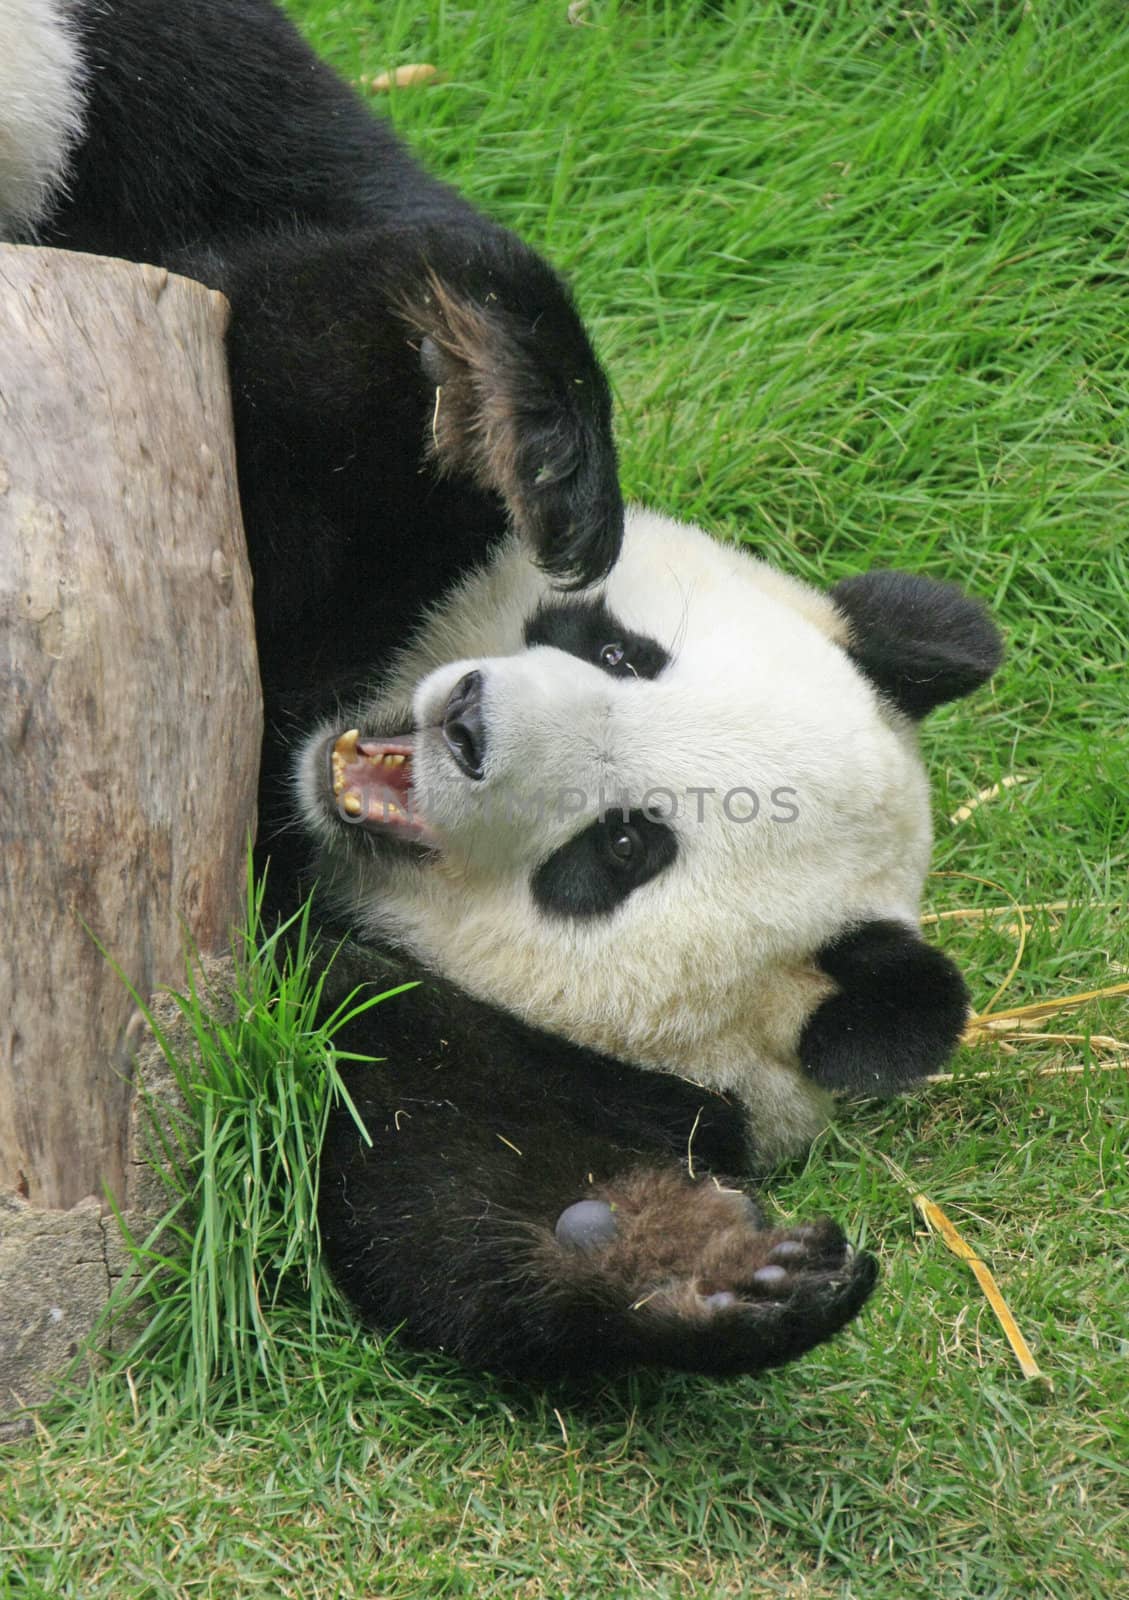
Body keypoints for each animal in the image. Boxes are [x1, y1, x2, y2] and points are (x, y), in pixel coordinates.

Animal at [2, 0, 1004, 1376]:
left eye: (620, 849)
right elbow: (286, 332)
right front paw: (502, 390)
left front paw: (690, 1264)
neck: (293, 768)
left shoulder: (466, 1034)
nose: (467, 721)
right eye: (621, 651)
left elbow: (411, 1172)